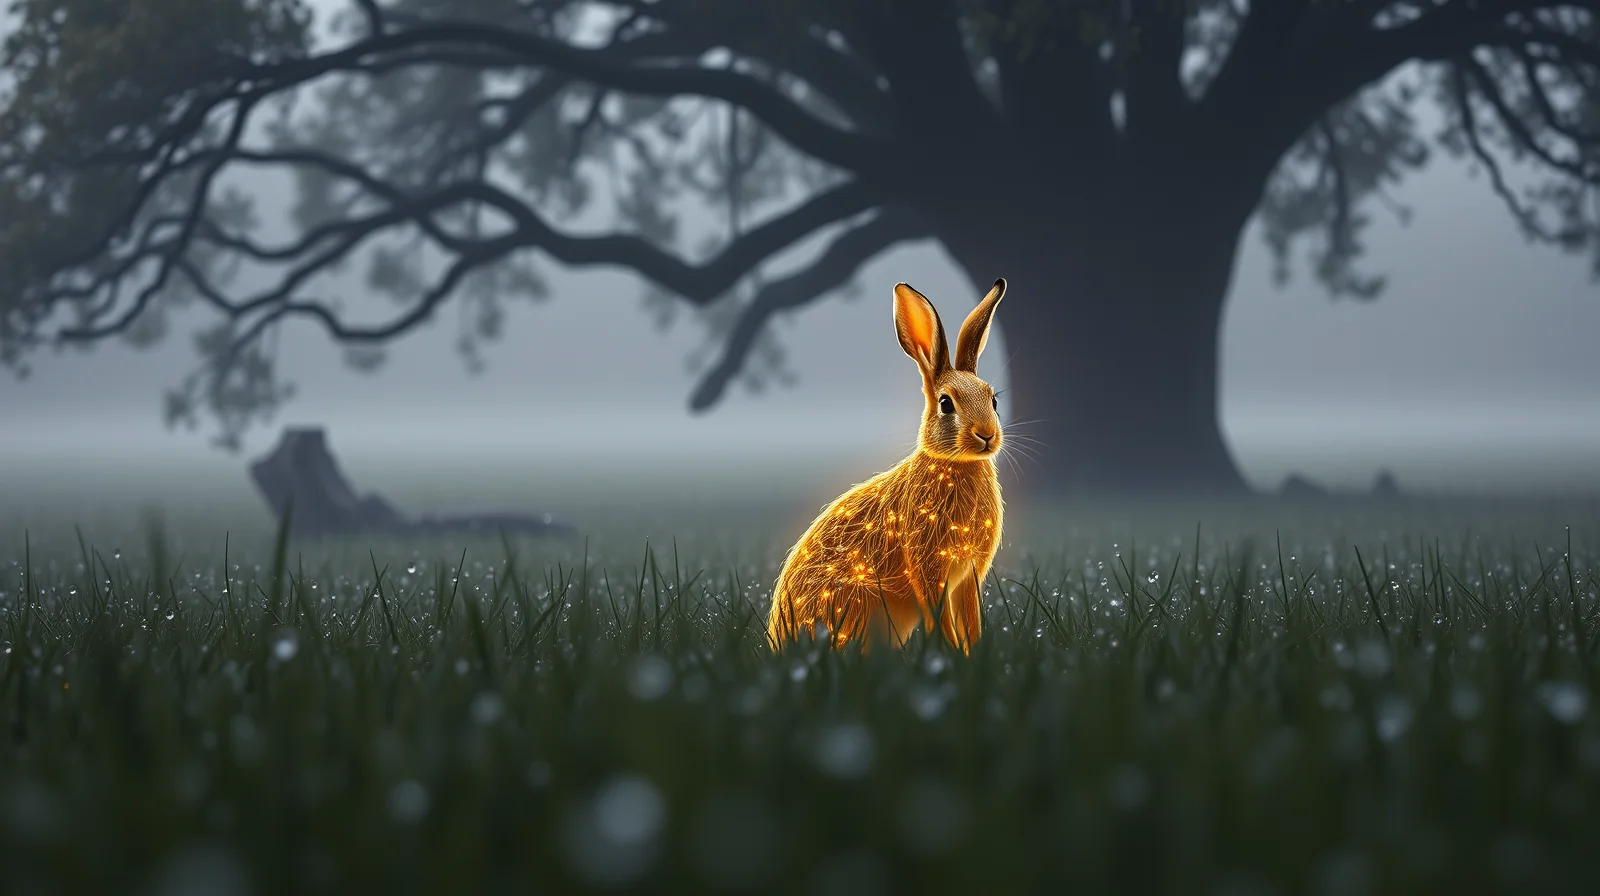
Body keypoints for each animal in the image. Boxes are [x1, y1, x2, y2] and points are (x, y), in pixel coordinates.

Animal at [767, 278, 1007, 655]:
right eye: (946, 404)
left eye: (993, 400)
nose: (987, 435)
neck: (955, 463)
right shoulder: (928, 567)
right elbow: (939, 616)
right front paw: (952, 653)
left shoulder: (967, 575)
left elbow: (970, 618)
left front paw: (973, 654)